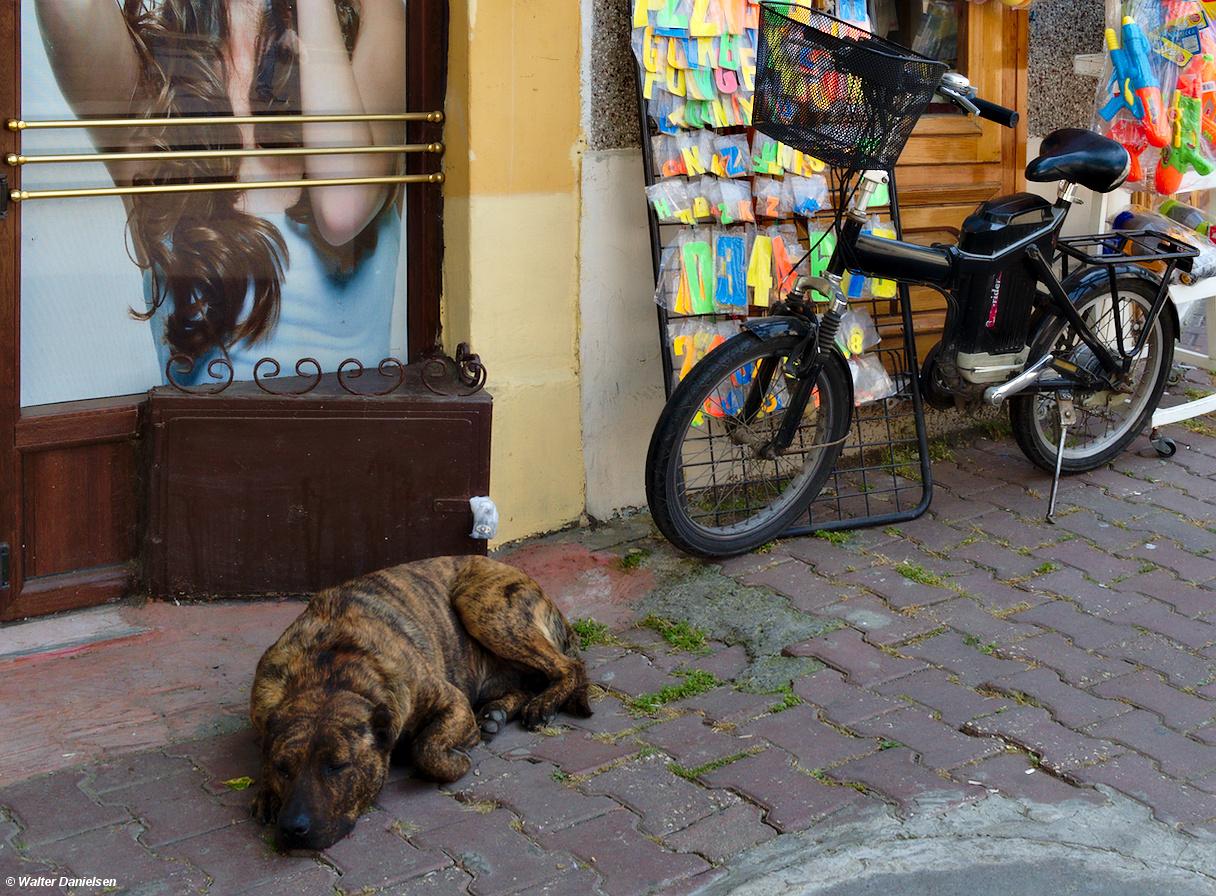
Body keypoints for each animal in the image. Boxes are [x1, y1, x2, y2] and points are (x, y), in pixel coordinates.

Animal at [249, 555, 592, 850]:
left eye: (337, 766)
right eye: (282, 768)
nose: (293, 828)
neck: (329, 672)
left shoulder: (451, 701)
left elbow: (425, 749)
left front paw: (456, 760)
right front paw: (267, 792)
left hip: (483, 606)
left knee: (568, 667)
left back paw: (543, 704)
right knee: (527, 683)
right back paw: (496, 713)